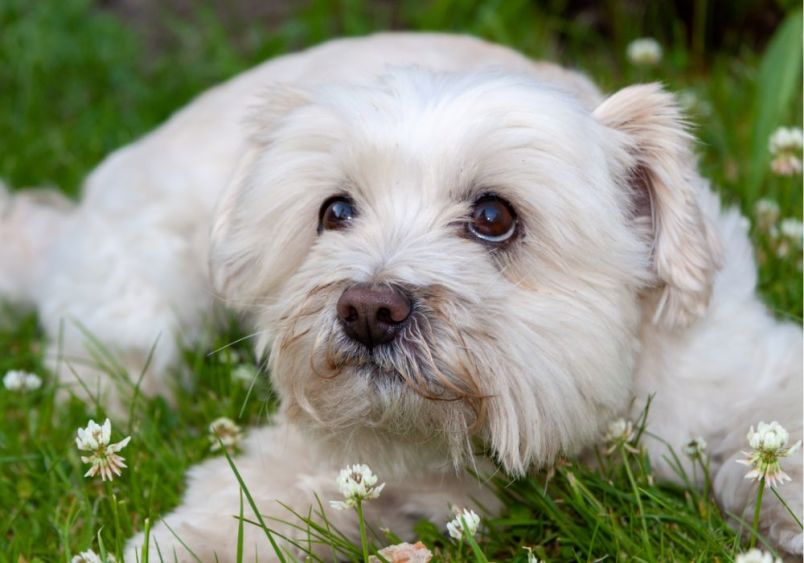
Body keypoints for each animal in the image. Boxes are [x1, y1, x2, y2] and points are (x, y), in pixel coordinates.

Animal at [3, 32, 800, 560]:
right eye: (334, 211)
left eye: (493, 215)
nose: (367, 310)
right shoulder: (327, 464)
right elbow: (225, 517)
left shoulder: (731, 378)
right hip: (140, 271)